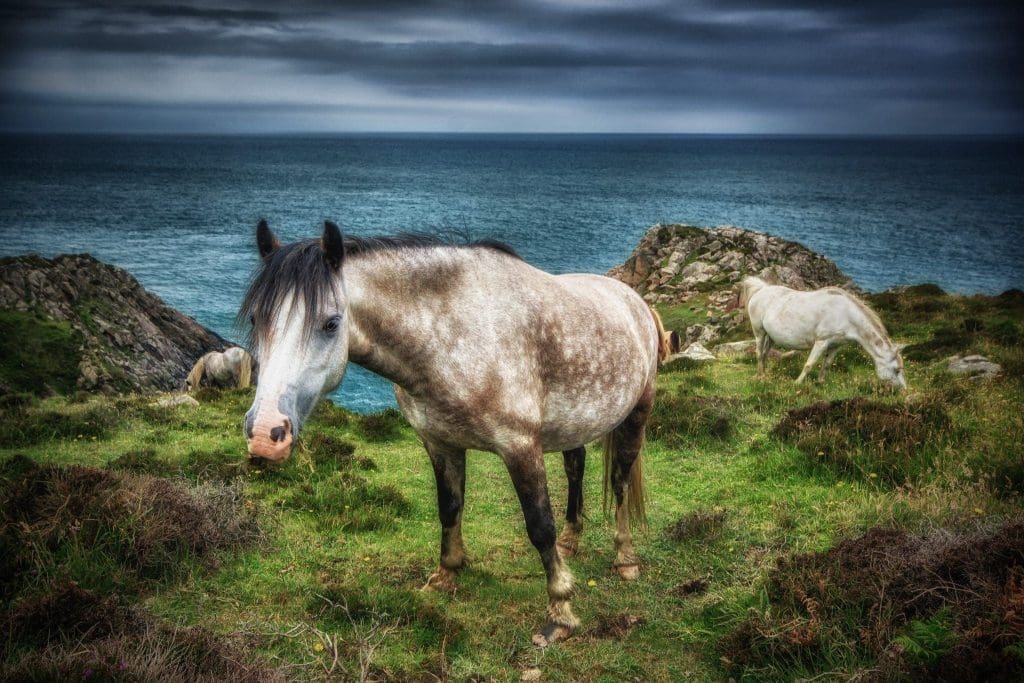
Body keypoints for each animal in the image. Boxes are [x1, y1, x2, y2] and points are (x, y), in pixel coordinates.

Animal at [242, 220, 667, 647]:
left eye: (330, 323)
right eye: (256, 320)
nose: (265, 433)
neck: (453, 336)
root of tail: (636, 302)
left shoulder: (520, 447)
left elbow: (539, 526)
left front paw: (560, 610)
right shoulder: (440, 443)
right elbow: (449, 508)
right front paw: (445, 574)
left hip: (637, 413)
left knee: (619, 482)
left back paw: (625, 558)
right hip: (573, 425)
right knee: (576, 469)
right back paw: (572, 540)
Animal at [741, 274, 909, 389]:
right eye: (896, 370)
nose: (903, 391)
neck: (845, 314)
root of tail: (761, 289)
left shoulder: (836, 345)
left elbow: (827, 364)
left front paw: (821, 383)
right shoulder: (821, 342)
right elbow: (809, 364)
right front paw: (797, 383)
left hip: (771, 336)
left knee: (765, 354)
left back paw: (764, 375)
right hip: (759, 332)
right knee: (758, 353)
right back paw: (760, 377)